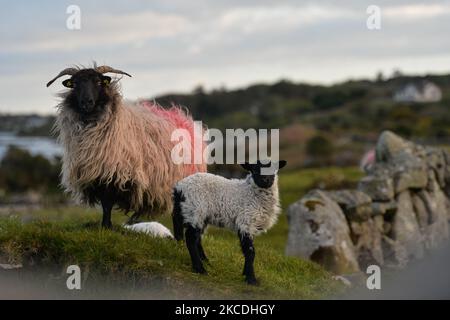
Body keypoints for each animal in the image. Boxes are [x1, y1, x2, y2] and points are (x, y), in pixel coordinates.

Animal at [46, 65, 207, 229]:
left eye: (98, 82)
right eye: (75, 84)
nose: (87, 102)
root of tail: (184, 119)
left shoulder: (115, 173)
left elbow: (108, 202)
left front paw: (106, 226)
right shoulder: (99, 175)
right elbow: (105, 204)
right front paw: (105, 225)